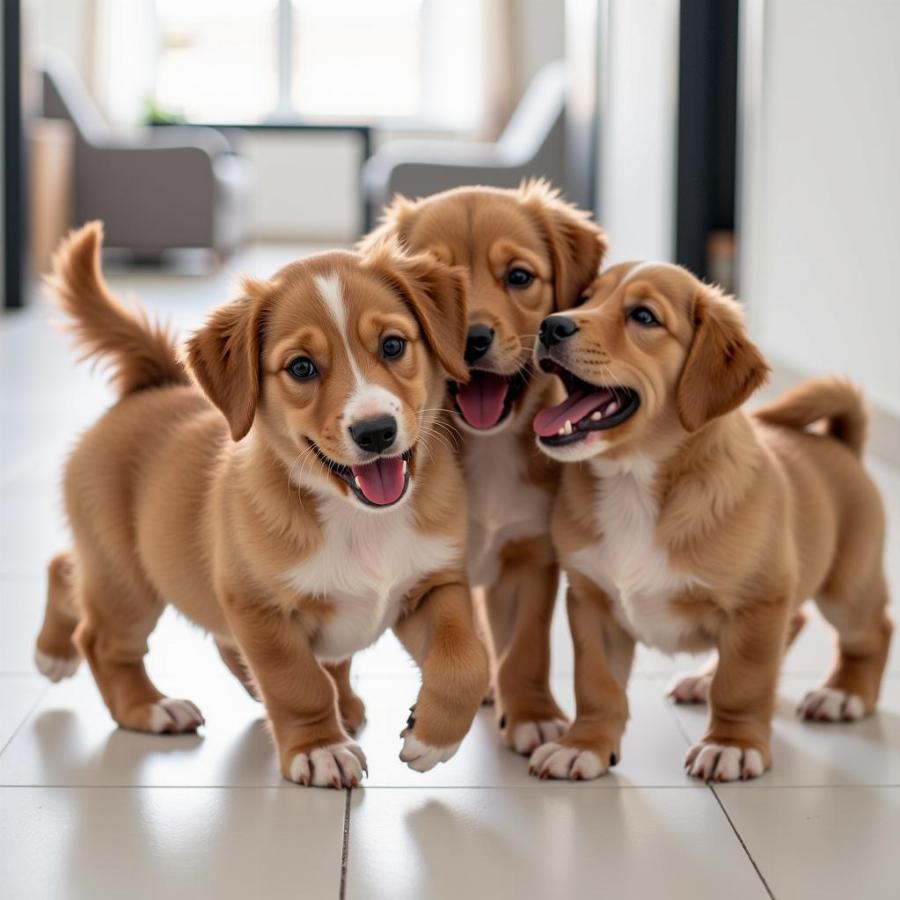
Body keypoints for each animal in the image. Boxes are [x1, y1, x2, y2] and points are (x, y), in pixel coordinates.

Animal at [33, 223, 492, 788]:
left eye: (392, 344)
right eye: (301, 367)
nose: (375, 431)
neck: (360, 518)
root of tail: (152, 385)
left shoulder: (435, 584)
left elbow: (466, 659)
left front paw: (432, 735)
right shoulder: (259, 609)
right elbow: (298, 683)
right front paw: (318, 747)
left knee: (68, 568)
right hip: (128, 578)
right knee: (99, 634)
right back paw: (139, 701)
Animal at [362, 181, 608, 752]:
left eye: (518, 277)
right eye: (435, 281)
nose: (472, 340)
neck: (487, 448)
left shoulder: (529, 558)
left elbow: (526, 648)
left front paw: (532, 714)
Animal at [532, 264, 888, 784]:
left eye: (644, 316)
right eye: (584, 298)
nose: (550, 326)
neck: (634, 482)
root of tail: (842, 443)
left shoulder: (759, 601)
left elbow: (742, 682)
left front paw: (732, 744)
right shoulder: (590, 601)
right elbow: (596, 684)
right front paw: (584, 746)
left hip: (848, 589)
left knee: (874, 631)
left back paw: (843, 694)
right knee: (797, 620)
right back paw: (703, 680)